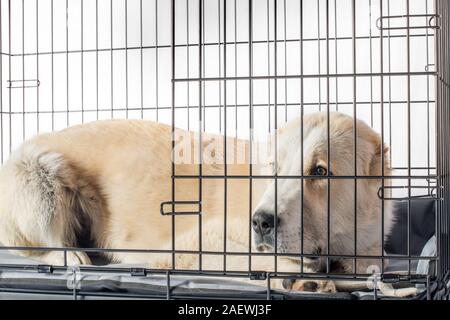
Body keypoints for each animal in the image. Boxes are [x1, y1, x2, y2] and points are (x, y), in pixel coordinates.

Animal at [0, 112, 400, 296]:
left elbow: (368, 262)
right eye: (274, 167)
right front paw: (300, 276)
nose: (262, 221)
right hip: (40, 175)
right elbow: (249, 260)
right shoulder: (195, 243)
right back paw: (73, 256)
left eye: (320, 171)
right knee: (41, 248)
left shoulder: (367, 247)